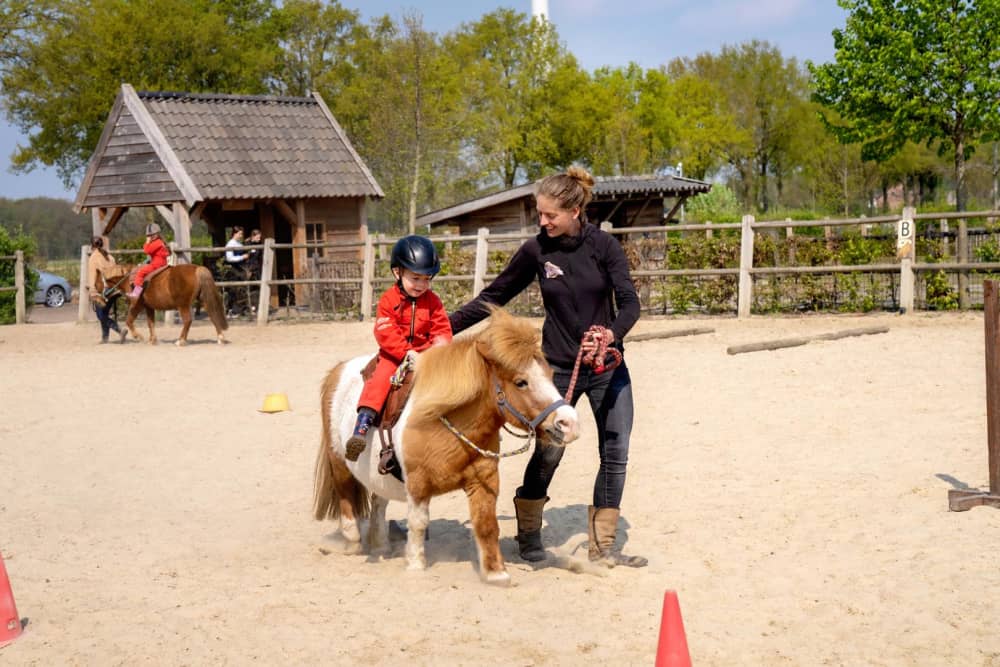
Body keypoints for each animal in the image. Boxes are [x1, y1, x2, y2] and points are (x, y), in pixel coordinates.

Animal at [312, 308, 580, 585]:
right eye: (521, 382)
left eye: (551, 375)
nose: (569, 423)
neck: (444, 422)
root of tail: (338, 370)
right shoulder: (418, 484)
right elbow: (418, 523)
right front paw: (415, 565)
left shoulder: (485, 481)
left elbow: (486, 524)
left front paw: (495, 573)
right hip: (339, 461)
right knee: (345, 495)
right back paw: (352, 539)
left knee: (378, 502)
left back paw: (380, 545)